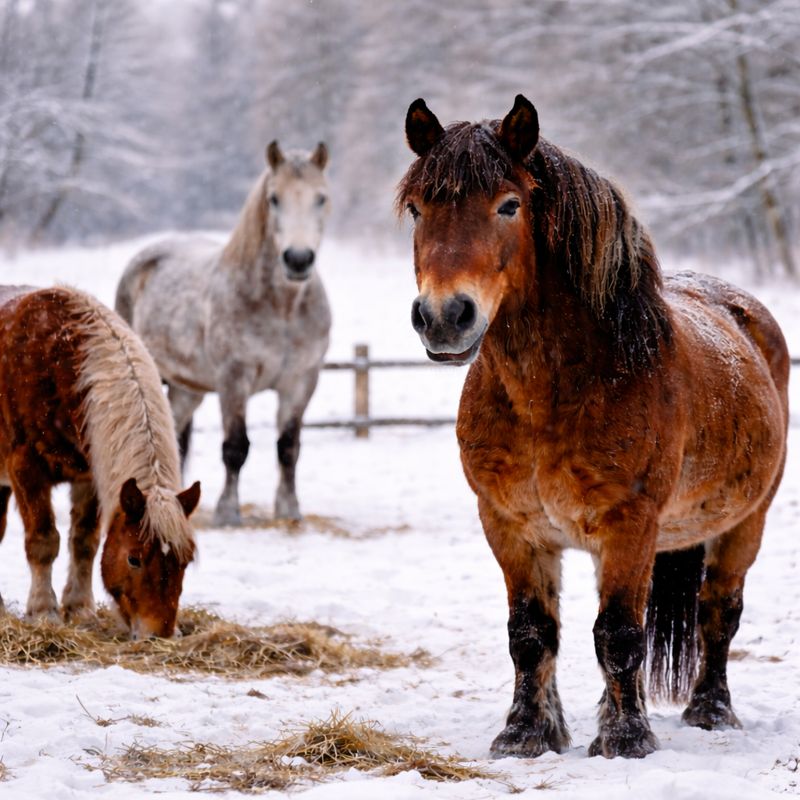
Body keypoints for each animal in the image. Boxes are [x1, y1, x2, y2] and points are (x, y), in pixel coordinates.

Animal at [0, 285, 200, 640]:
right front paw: (43, 611)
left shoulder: (89, 475)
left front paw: (79, 609)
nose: (159, 633)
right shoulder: (26, 468)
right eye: (134, 559)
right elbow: (43, 540)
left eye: (185, 560)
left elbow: (84, 543)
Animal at [115, 141, 331, 526]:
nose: (298, 259)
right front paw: (228, 511)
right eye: (274, 198)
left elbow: (288, 447)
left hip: (187, 389)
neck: (283, 309)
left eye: (321, 197)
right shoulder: (234, 379)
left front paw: (289, 509)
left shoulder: (302, 381)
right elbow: (235, 447)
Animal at [397, 95, 789, 759]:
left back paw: (710, 711)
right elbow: (531, 634)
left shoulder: (628, 525)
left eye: (509, 204)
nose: (445, 317)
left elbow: (620, 634)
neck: (555, 394)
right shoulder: (510, 526)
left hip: (744, 522)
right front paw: (527, 734)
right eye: (418, 208)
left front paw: (627, 740)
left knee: (718, 613)